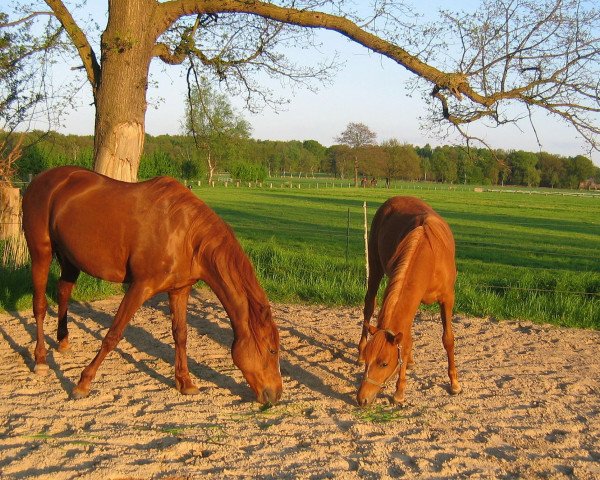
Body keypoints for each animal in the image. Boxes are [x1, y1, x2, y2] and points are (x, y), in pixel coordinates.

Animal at [22, 167, 284, 404]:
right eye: (272, 350)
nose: (275, 395)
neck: (185, 235)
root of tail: (39, 180)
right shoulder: (140, 287)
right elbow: (113, 334)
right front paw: (83, 384)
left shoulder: (179, 290)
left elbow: (181, 335)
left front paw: (185, 382)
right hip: (41, 254)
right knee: (40, 306)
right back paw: (41, 360)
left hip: (70, 259)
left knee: (63, 292)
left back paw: (63, 341)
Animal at [358, 197, 462, 406]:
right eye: (369, 358)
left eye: (384, 363)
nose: (361, 398)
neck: (430, 254)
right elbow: (404, 343)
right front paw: (400, 391)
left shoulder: (447, 299)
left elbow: (447, 339)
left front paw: (454, 384)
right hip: (375, 267)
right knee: (369, 306)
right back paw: (359, 350)